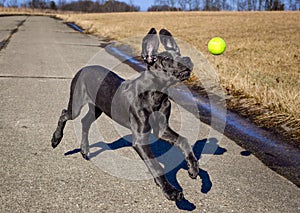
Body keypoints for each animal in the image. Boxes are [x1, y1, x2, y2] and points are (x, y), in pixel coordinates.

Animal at [51, 28, 199, 201]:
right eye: (167, 59)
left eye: (179, 53)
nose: (188, 59)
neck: (156, 94)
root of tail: (84, 68)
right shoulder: (140, 139)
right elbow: (155, 165)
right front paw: (170, 190)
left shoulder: (162, 129)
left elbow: (183, 140)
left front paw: (193, 168)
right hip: (76, 103)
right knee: (64, 114)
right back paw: (56, 139)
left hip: (98, 107)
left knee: (85, 122)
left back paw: (84, 149)